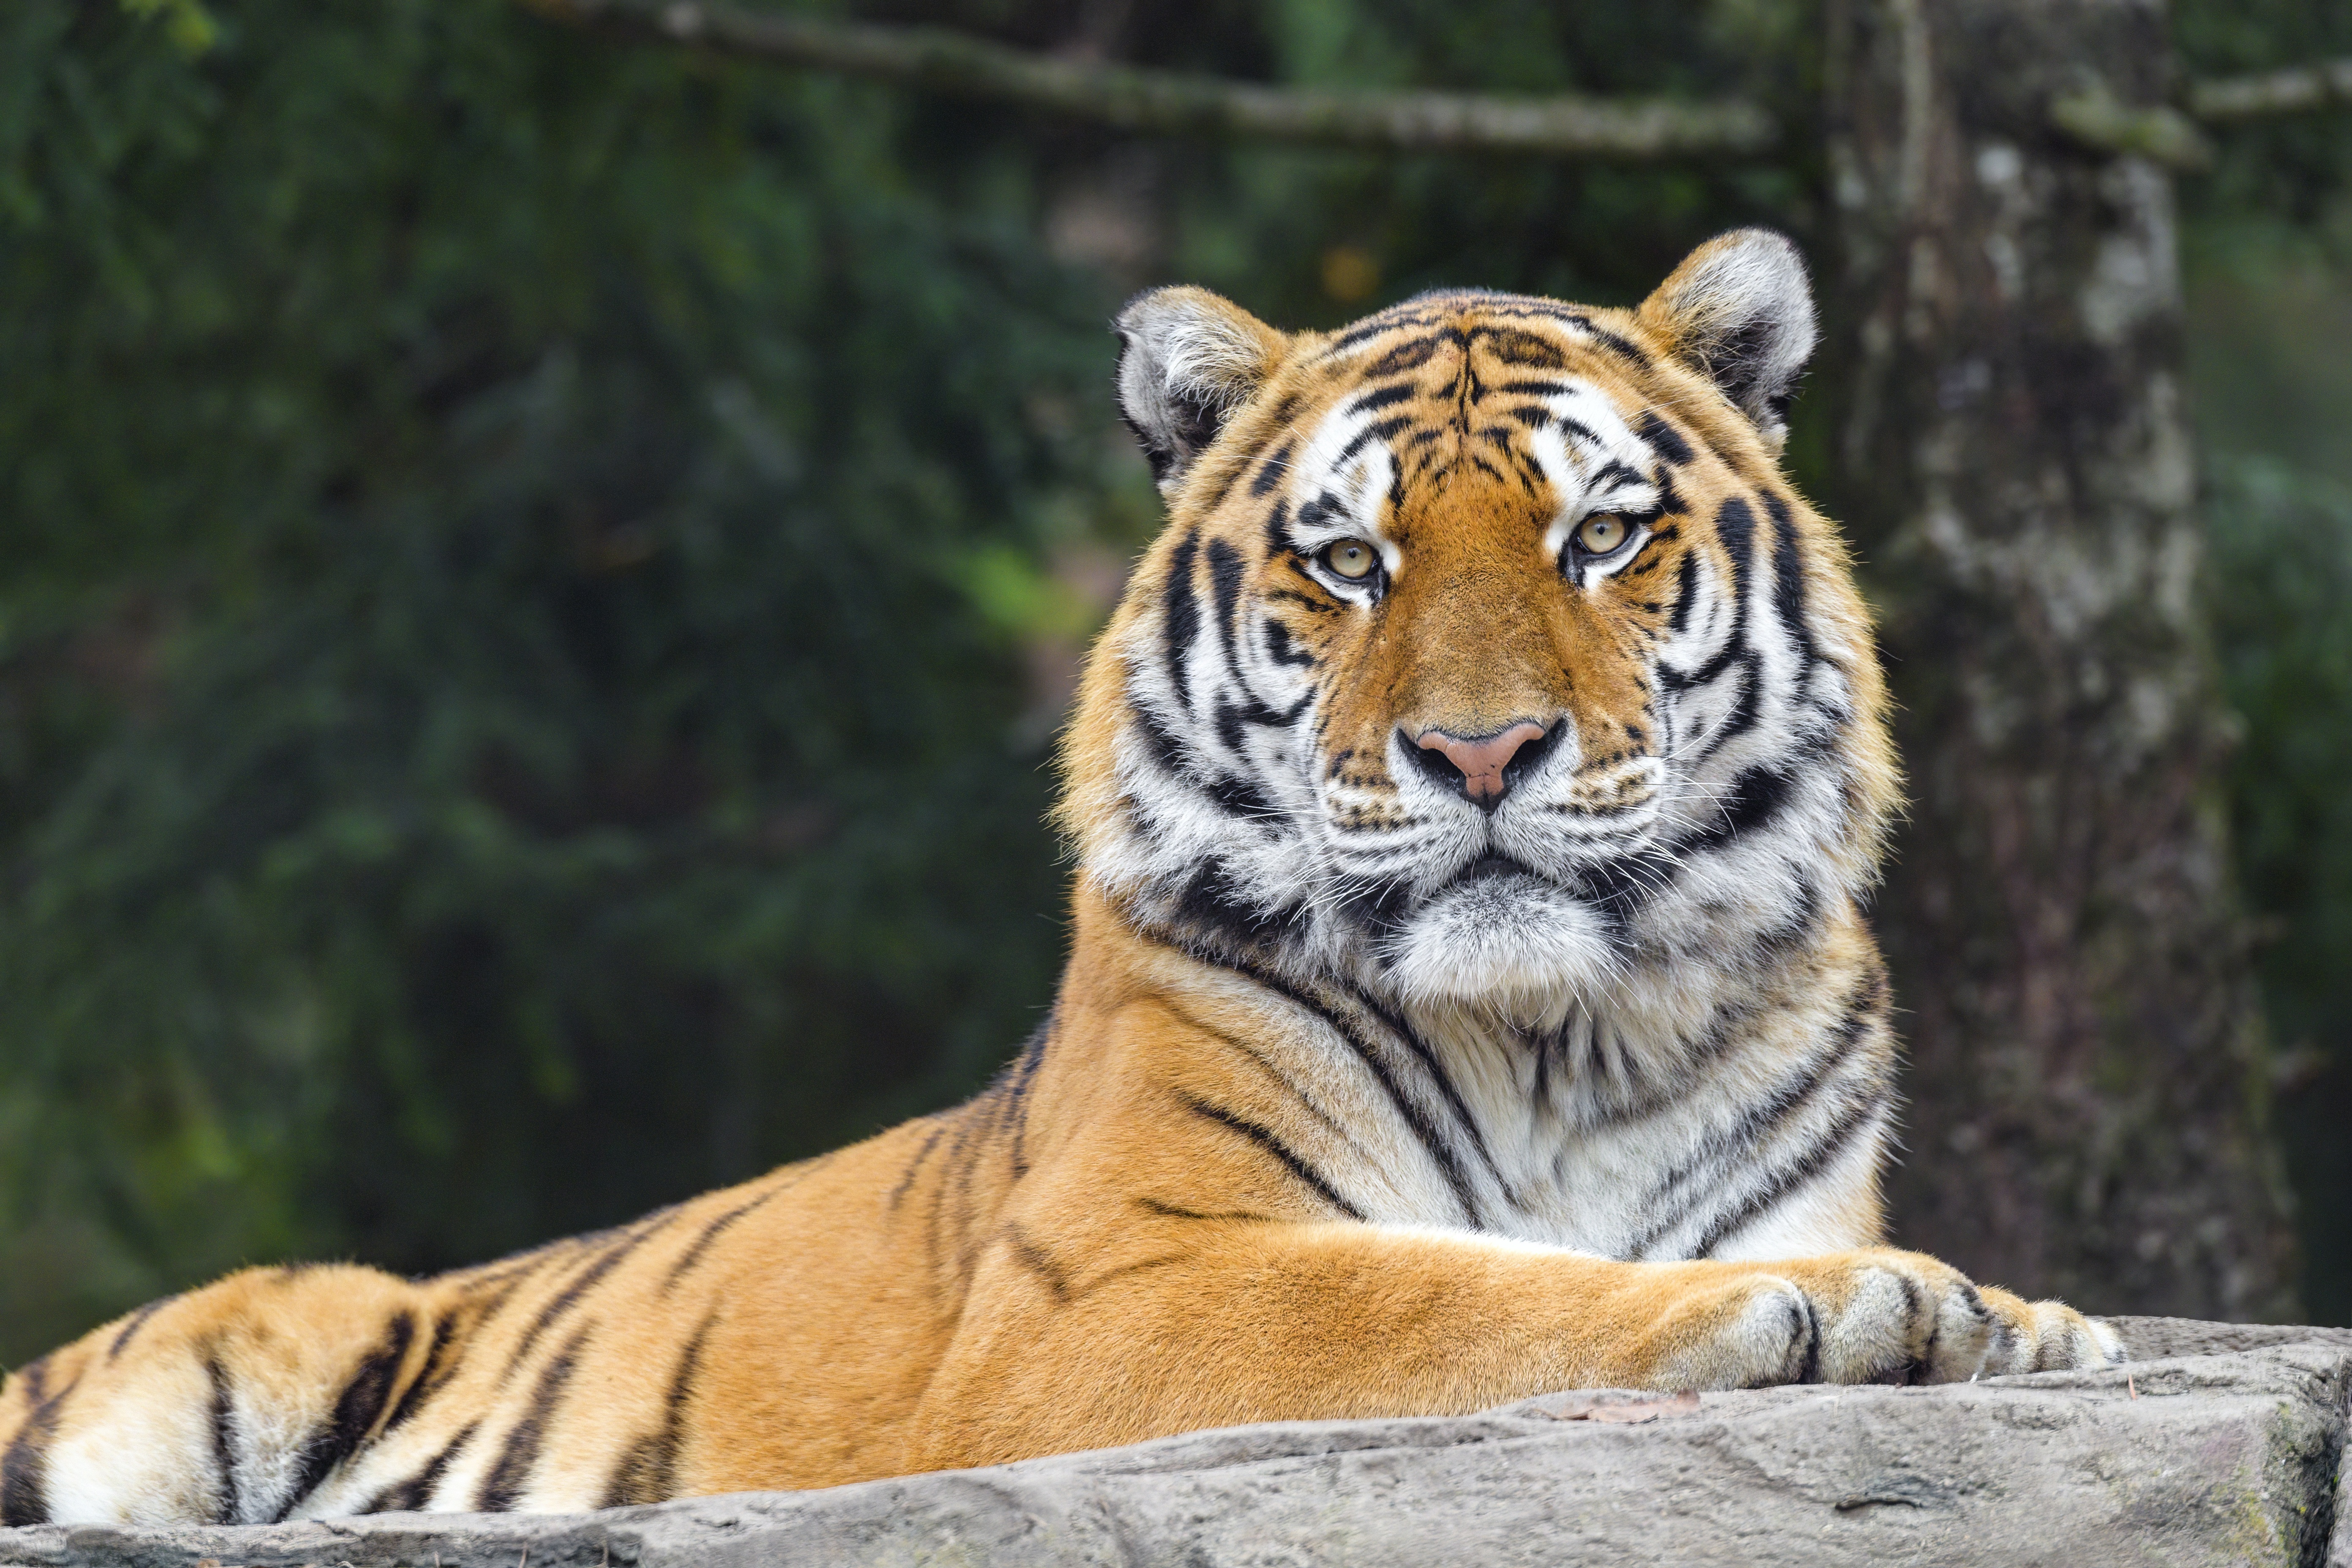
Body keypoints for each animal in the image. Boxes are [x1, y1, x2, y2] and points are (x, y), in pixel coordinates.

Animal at [0, 229, 2121, 1527]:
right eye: (1347, 560)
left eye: (1599, 536)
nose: (1479, 755)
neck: (1558, 1034)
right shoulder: (1114, 1290)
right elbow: (1458, 1289)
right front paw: (1887, 1309)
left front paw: (2017, 1324)